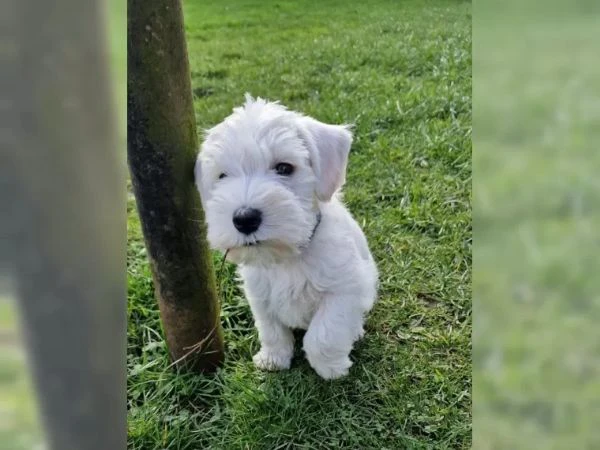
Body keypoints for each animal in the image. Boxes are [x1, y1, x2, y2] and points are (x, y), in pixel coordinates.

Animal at [195, 95, 378, 380]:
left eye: (284, 168)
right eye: (222, 176)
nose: (244, 218)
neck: (287, 256)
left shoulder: (344, 289)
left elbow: (323, 334)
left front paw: (331, 368)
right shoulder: (259, 295)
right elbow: (271, 331)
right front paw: (273, 358)